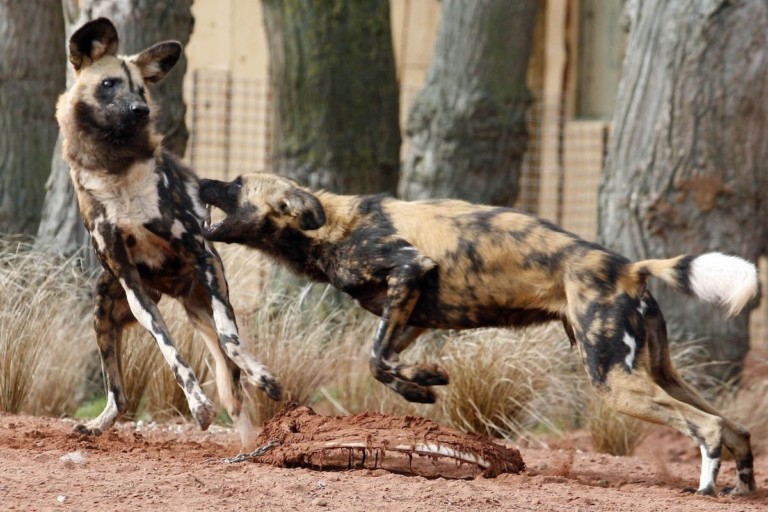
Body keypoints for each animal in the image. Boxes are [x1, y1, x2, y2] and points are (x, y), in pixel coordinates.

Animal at [56, 19, 282, 444]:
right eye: (109, 84)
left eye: (141, 90)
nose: (140, 109)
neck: (116, 171)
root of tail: (180, 293)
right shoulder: (133, 287)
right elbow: (171, 353)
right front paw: (197, 404)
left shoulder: (203, 257)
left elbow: (229, 340)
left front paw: (263, 377)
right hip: (104, 310)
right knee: (119, 395)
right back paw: (97, 425)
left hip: (208, 293)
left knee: (233, 379)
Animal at [198, 173, 756, 496]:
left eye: (236, 183)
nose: (200, 177)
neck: (329, 224)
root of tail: (628, 266)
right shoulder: (411, 312)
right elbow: (381, 363)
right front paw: (424, 383)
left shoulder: (409, 270)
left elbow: (375, 357)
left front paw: (423, 387)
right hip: (658, 372)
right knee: (735, 427)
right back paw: (743, 489)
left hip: (614, 382)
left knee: (707, 427)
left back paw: (706, 488)